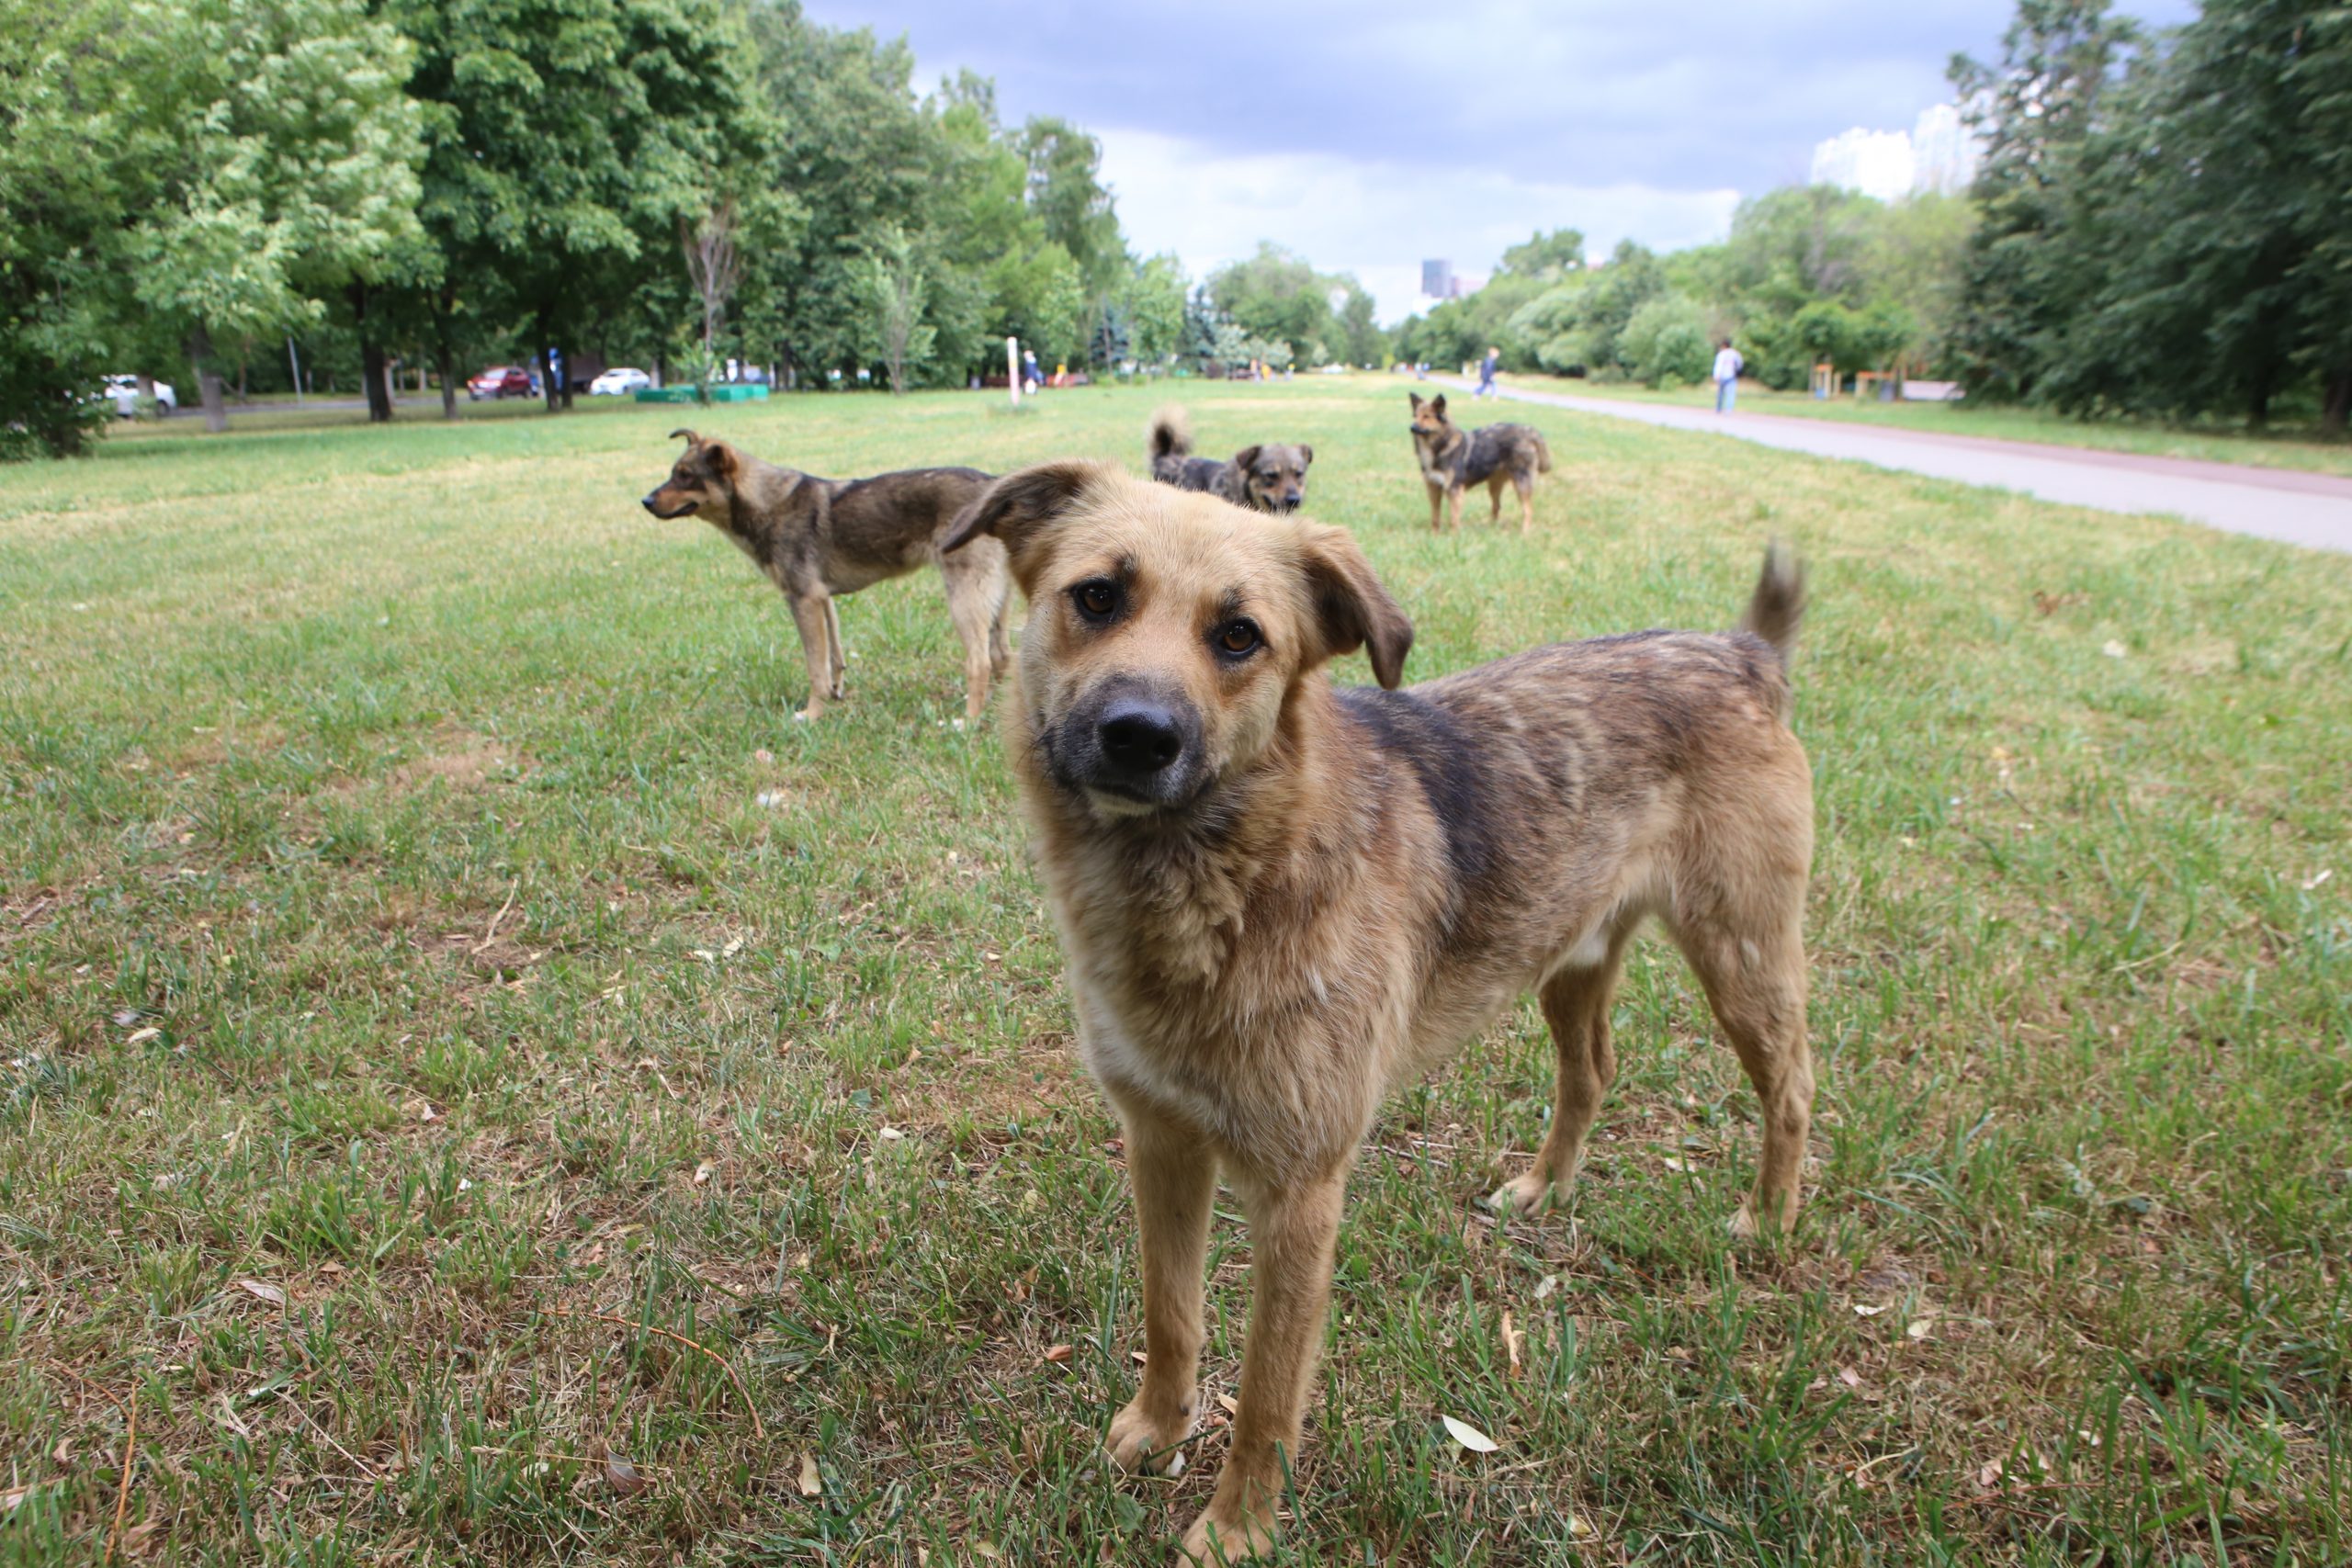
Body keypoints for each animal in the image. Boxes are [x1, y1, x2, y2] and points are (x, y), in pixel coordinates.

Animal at [644, 430, 1011, 724]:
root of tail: (992, 486)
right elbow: (834, 659)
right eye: (674, 473)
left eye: (686, 476)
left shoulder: (803, 600)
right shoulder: (823, 600)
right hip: (994, 601)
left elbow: (814, 669)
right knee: (1001, 657)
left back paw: (969, 720)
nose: (645, 500)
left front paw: (812, 715)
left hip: (964, 598)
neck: (766, 502)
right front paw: (835, 695)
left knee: (980, 662)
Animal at [941, 463, 1815, 1561]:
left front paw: (1237, 1529)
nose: (1139, 735)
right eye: (1096, 596)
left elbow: (1270, 1394)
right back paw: (1544, 1189)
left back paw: (1769, 1218)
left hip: (1742, 961)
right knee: (1591, 1072)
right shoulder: (1162, 1142)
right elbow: (1170, 1315)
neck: (1236, 875)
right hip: (1568, 961)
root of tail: (1744, 653)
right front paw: (1158, 1429)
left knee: (1792, 1088)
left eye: (1240, 635)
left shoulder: (1299, 1193)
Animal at [1401, 389, 1552, 536]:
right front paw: (1434, 535)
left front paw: (1454, 538)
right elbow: (1435, 516)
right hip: (1494, 485)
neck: (1440, 446)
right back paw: (1491, 528)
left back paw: (1524, 533)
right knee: (1497, 507)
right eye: (1415, 415)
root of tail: (1529, 431)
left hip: (1521, 484)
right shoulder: (1433, 488)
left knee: (1528, 510)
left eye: (1426, 416)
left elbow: (1454, 518)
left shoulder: (1454, 490)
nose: (1411, 428)